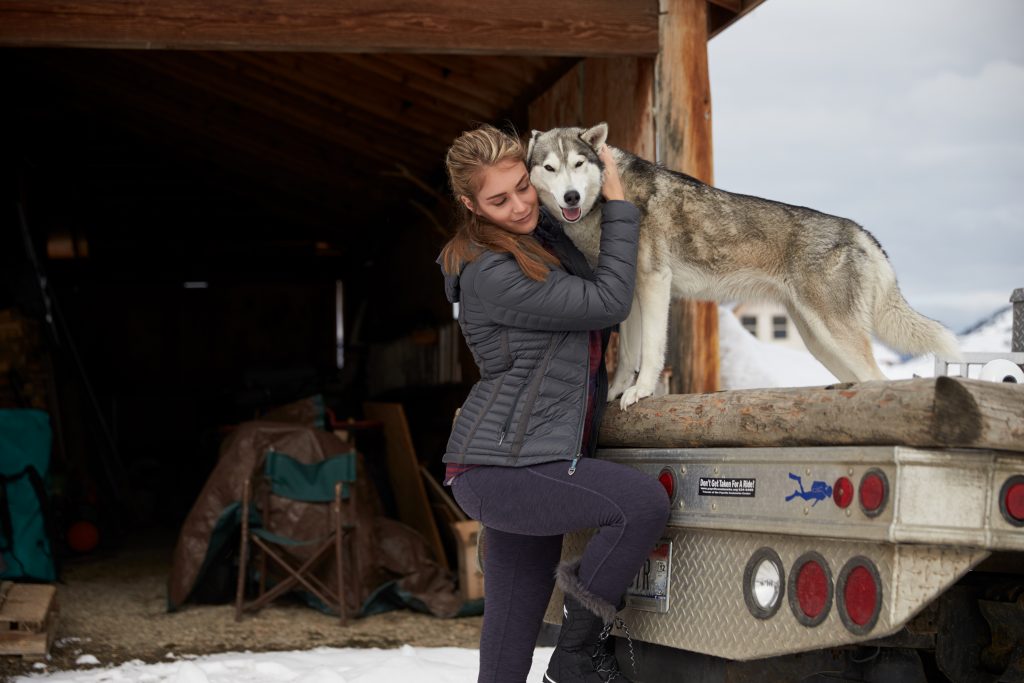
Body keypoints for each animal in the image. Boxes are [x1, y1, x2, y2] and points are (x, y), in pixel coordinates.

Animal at [528, 124, 958, 405]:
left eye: (578, 164)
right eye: (549, 168)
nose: (570, 197)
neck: (607, 202)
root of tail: (859, 231)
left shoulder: (654, 284)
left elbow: (650, 351)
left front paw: (641, 392)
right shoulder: (629, 291)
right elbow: (629, 355)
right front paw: (619, 391)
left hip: (836, 336)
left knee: (877, 379)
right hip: (820, 343)